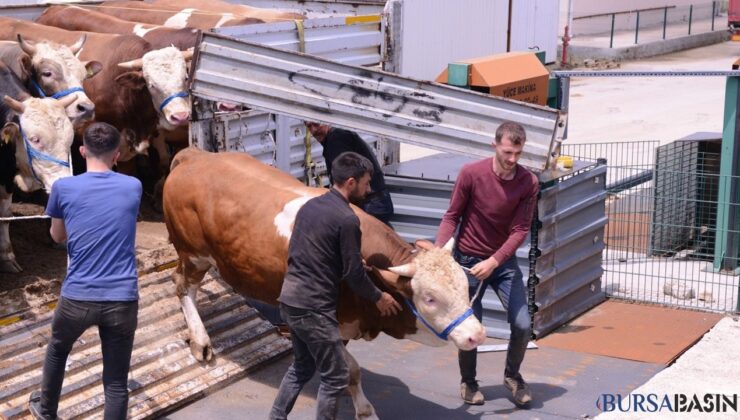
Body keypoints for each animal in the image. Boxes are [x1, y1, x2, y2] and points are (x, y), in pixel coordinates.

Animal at [162, 148, 486, 416]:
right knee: (182, 284)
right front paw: (365, 411)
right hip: (193, 253)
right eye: (430, 298)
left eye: (465, 286)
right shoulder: (329, 322)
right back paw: (201, 341)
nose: (477, 335)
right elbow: (351, 370)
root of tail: (195, 156)